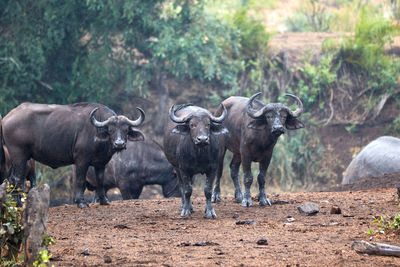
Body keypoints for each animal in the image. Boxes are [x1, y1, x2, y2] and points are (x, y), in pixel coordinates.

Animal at [0, 101, 145, 208]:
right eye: (110, 130)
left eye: (126, 129)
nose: (119, 144)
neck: (97, 133)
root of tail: (7, 118)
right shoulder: (81, 160)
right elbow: (80, 180)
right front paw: (81, 202)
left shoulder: (101, 163)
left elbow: (100, 180)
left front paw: (104, 201)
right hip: (19, 155)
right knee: (17, 179)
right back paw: (18, 204)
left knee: (13, 179)